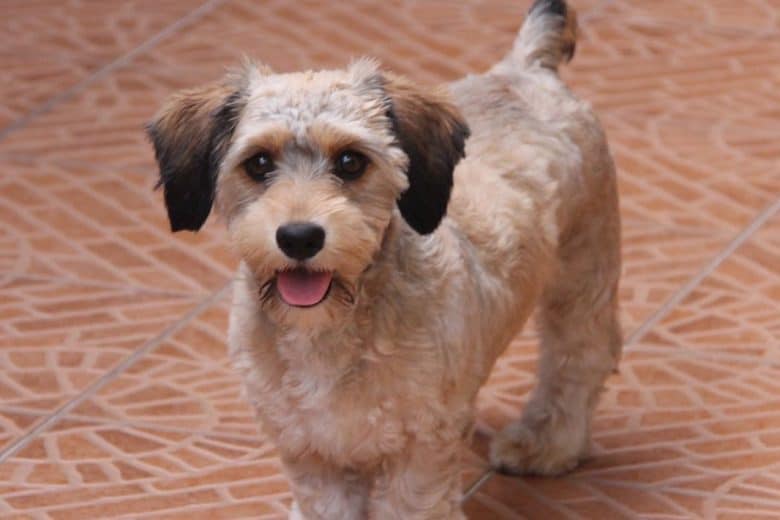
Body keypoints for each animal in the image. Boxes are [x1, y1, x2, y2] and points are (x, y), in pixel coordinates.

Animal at [146, 1, 620, 516]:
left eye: (351, 162)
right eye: (259, 163)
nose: (299, 237)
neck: (330, 332)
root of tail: (524, 68)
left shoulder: (420, 452)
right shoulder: (311, 453)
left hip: (582, 276)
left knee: (579, 359)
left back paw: (547, 441)